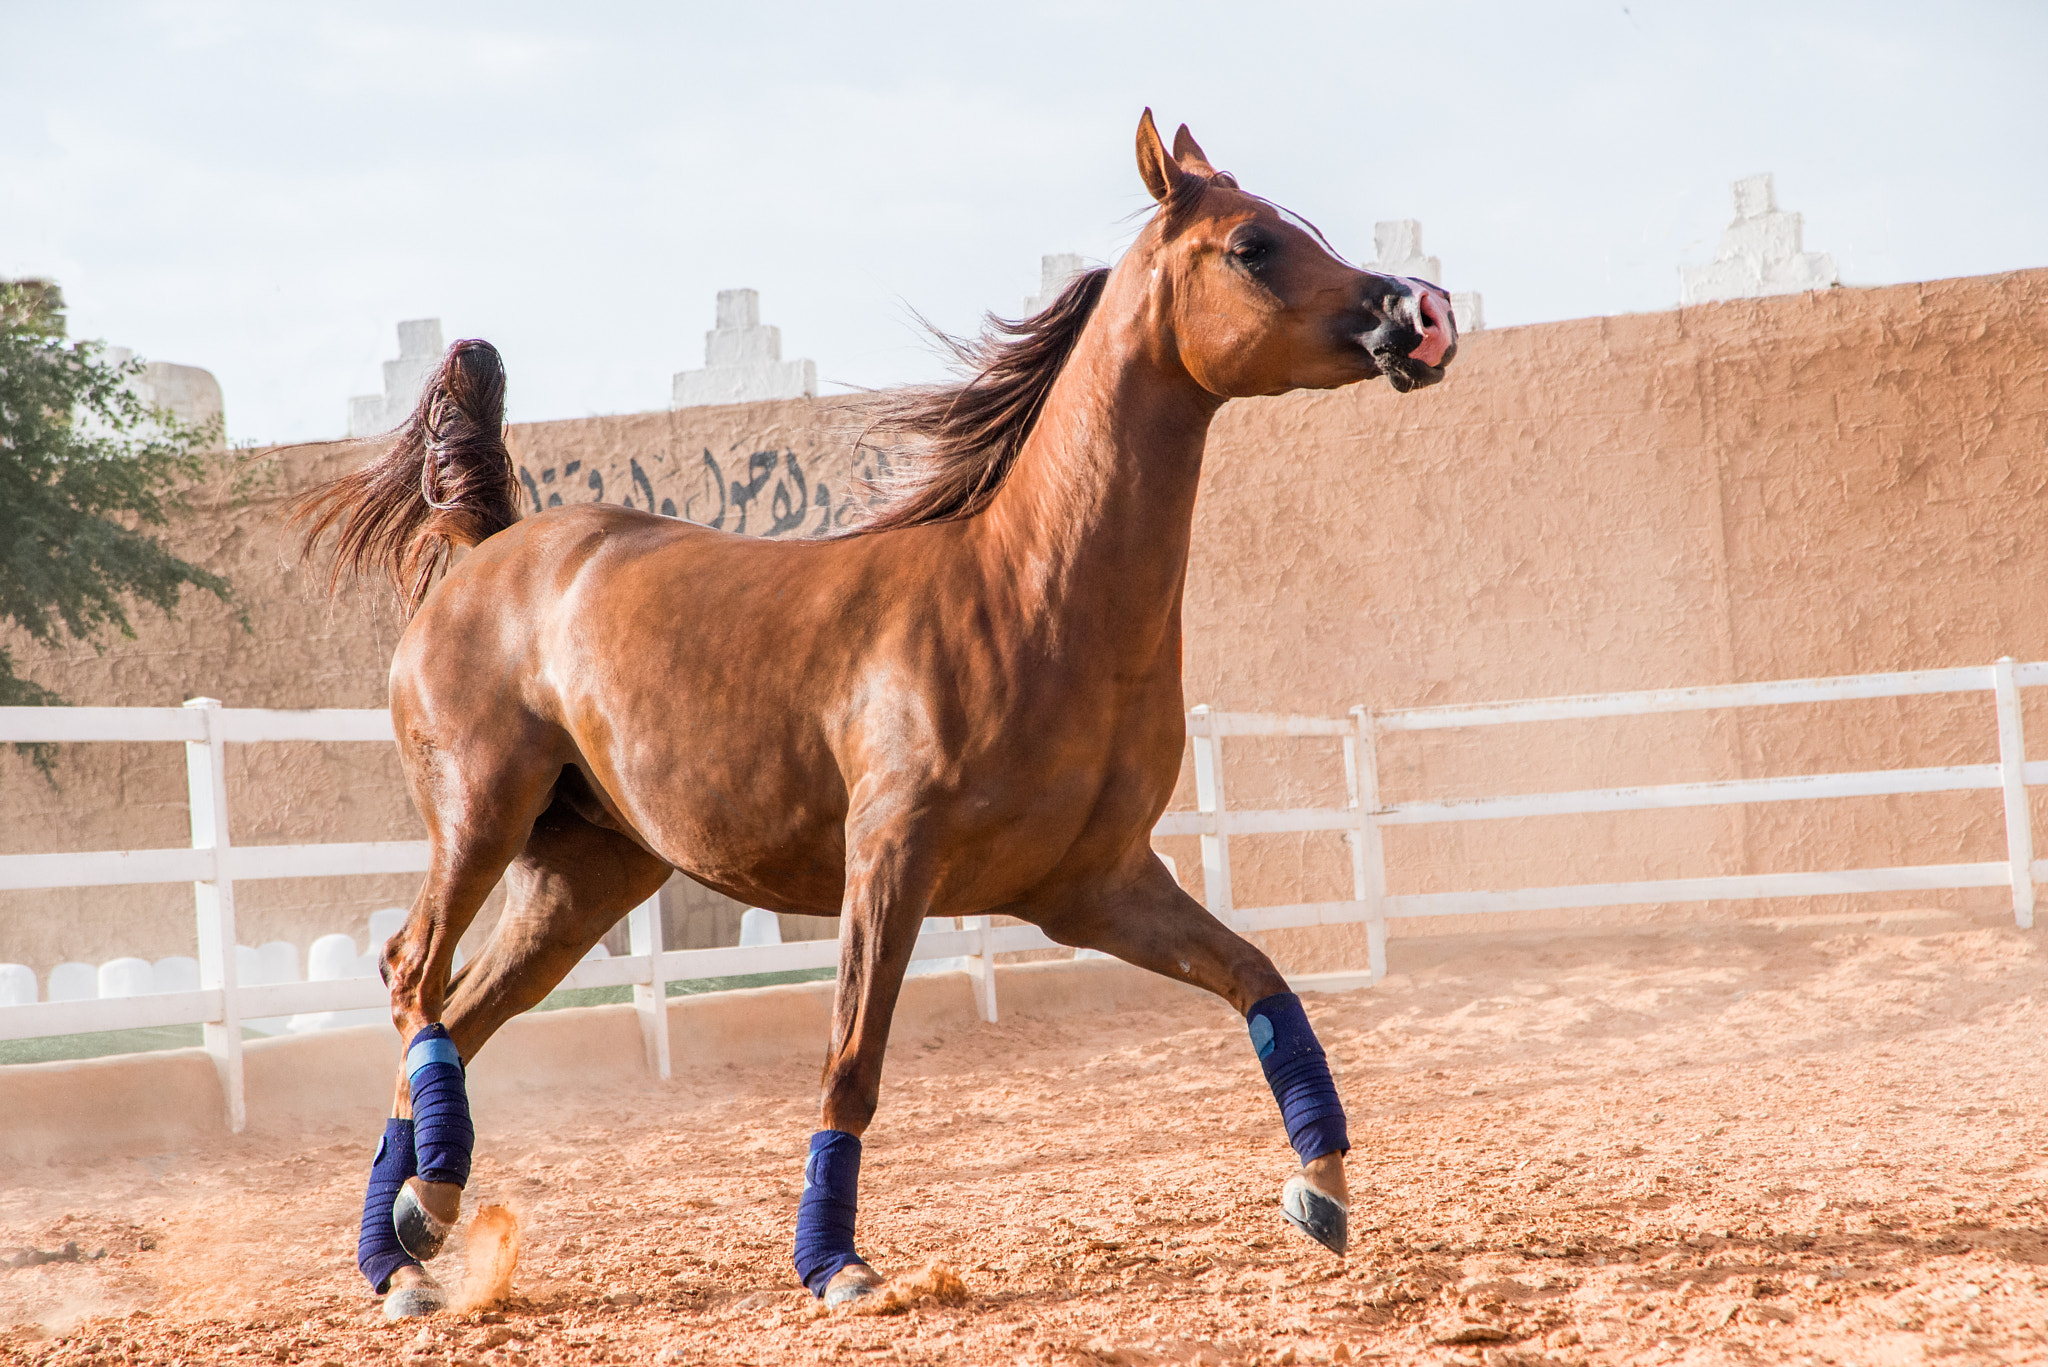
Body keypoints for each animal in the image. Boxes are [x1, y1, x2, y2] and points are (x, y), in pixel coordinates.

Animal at [299, 112, 1458, 1319]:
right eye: (1251, 246)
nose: (1420, 315)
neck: (1032, 596)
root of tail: (489, 547)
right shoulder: (891, 862)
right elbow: (850, 1061)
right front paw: (836, 1263)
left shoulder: (1098, 887)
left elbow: (1260, 980)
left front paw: (1322, 1187)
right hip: (480, 814)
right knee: (411, 976)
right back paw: (421, 1216)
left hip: (581, 875)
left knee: (460, 1013)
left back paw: (403, 1246)